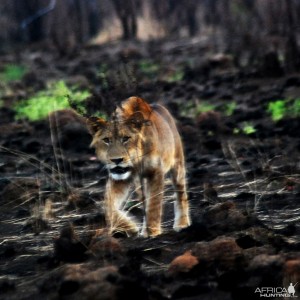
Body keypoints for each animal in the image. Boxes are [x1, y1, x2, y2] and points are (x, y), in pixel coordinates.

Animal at [86, 96, 190, 237]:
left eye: (126, 138)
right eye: (106, 140)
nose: (117, 160)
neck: (136, 161)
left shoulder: (155, 172)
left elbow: (154, 203)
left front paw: (152, 231)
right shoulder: (119, 178)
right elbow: (108, 206)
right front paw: (130, 227)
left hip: (177, 163)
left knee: (180, 193)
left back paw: (182, 224)